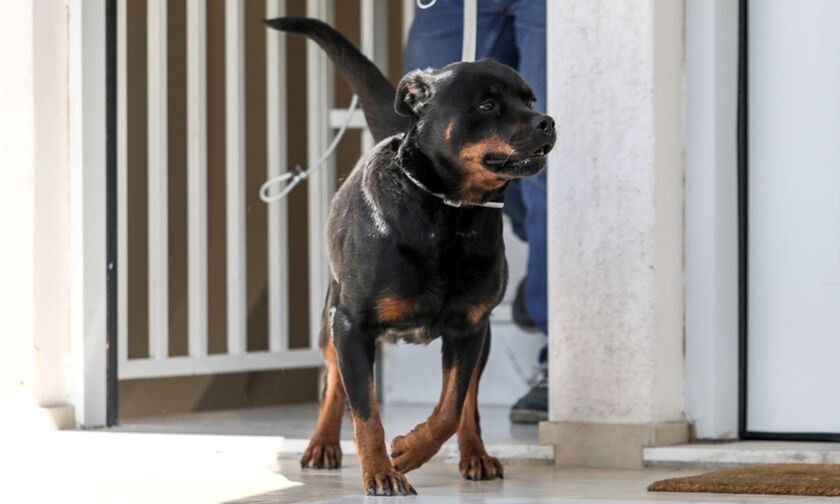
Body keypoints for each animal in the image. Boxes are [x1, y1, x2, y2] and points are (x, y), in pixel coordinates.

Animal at [266, 16, 556, 496]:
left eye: (530, 99)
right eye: (488, 104)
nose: (547, 121)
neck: (448, 212)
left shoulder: (470, 330)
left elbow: (450, 409)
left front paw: (409, 449)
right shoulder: (352, 326)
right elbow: (366, 412)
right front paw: (381, 470)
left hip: (481, 339)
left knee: (468, 403)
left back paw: (476, 455)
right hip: (330, 321)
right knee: (333, 383)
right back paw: (323, 444)